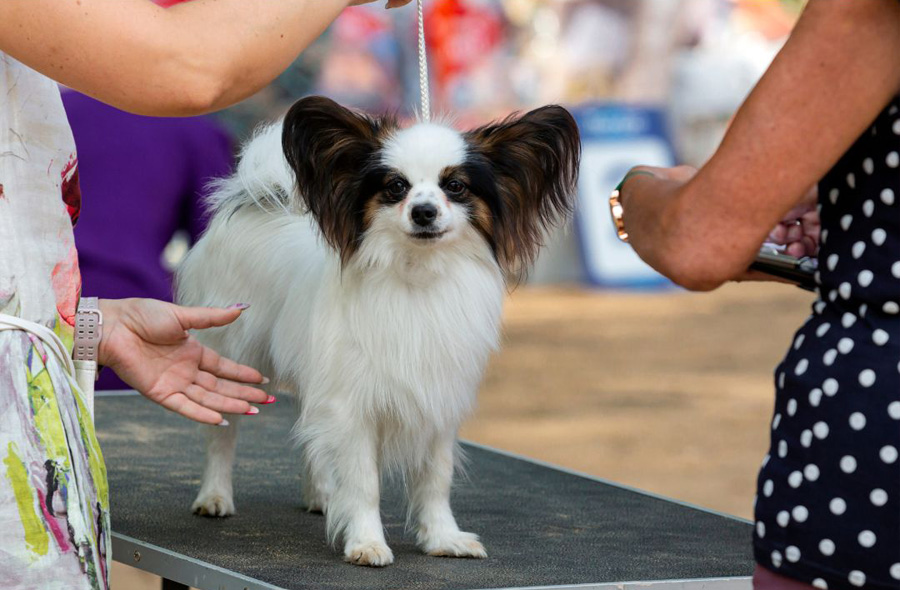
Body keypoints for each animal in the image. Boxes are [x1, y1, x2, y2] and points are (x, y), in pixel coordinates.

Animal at [176, 97, 580, 568]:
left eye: (456, 186)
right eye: (395, 187)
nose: (424, 212)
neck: (417, 276)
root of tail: (264, 201)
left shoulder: (437, 401)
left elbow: (435, 479)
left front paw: (443, 538)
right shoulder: (353, 405)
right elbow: (364, 482)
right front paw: (366, 542)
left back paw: (322, 496)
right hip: (233, 361)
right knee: (222, 435)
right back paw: (215, 496)